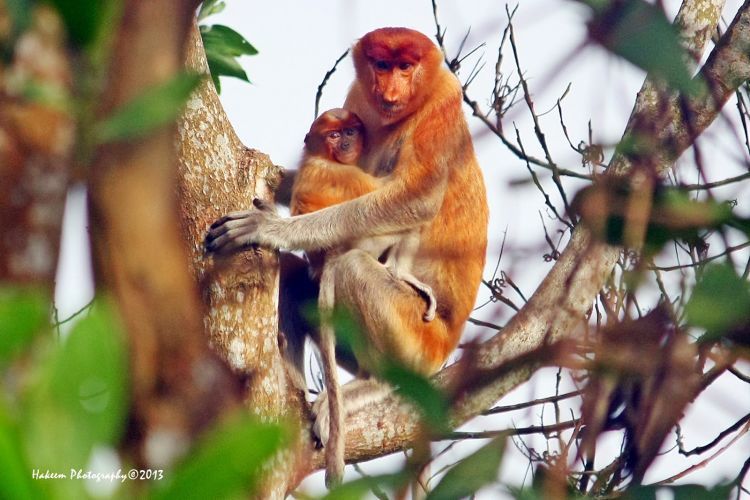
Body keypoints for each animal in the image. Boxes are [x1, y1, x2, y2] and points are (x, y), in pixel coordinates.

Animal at [290, 108, 438, 484]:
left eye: (350, 131)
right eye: (333, 134)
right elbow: (398, 200)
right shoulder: (345, 175)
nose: (345, 144)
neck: (319, 156)